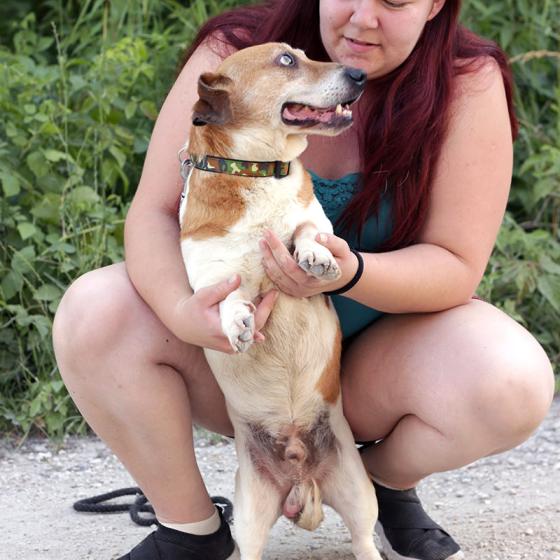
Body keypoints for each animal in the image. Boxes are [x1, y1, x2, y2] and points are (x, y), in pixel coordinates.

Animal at [179, 42, 382, 560]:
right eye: (286, 60)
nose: (360, 75)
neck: (261, 173)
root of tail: (300, 472)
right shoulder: (207, 276)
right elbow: (226, 295)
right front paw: (236, 320)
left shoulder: (316, 220)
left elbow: (309, 229)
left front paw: (313, 255)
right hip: (249, 513)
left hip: (358, 490)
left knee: (364, 538)